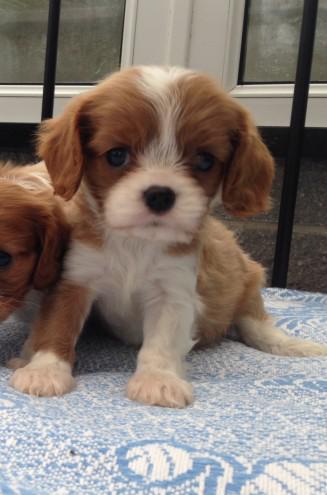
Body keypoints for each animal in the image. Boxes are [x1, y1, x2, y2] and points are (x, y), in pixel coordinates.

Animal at [9, 66, 327, 406]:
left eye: (205, 160)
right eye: (117, 155)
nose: (160, 194)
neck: (135, 242)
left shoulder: (173, 291)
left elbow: (162, 340)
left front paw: (157, 379)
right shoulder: (75, 279)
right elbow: (57, 325)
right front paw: (44, 370)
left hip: (249, 279)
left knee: (257, 324)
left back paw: (291, 345)